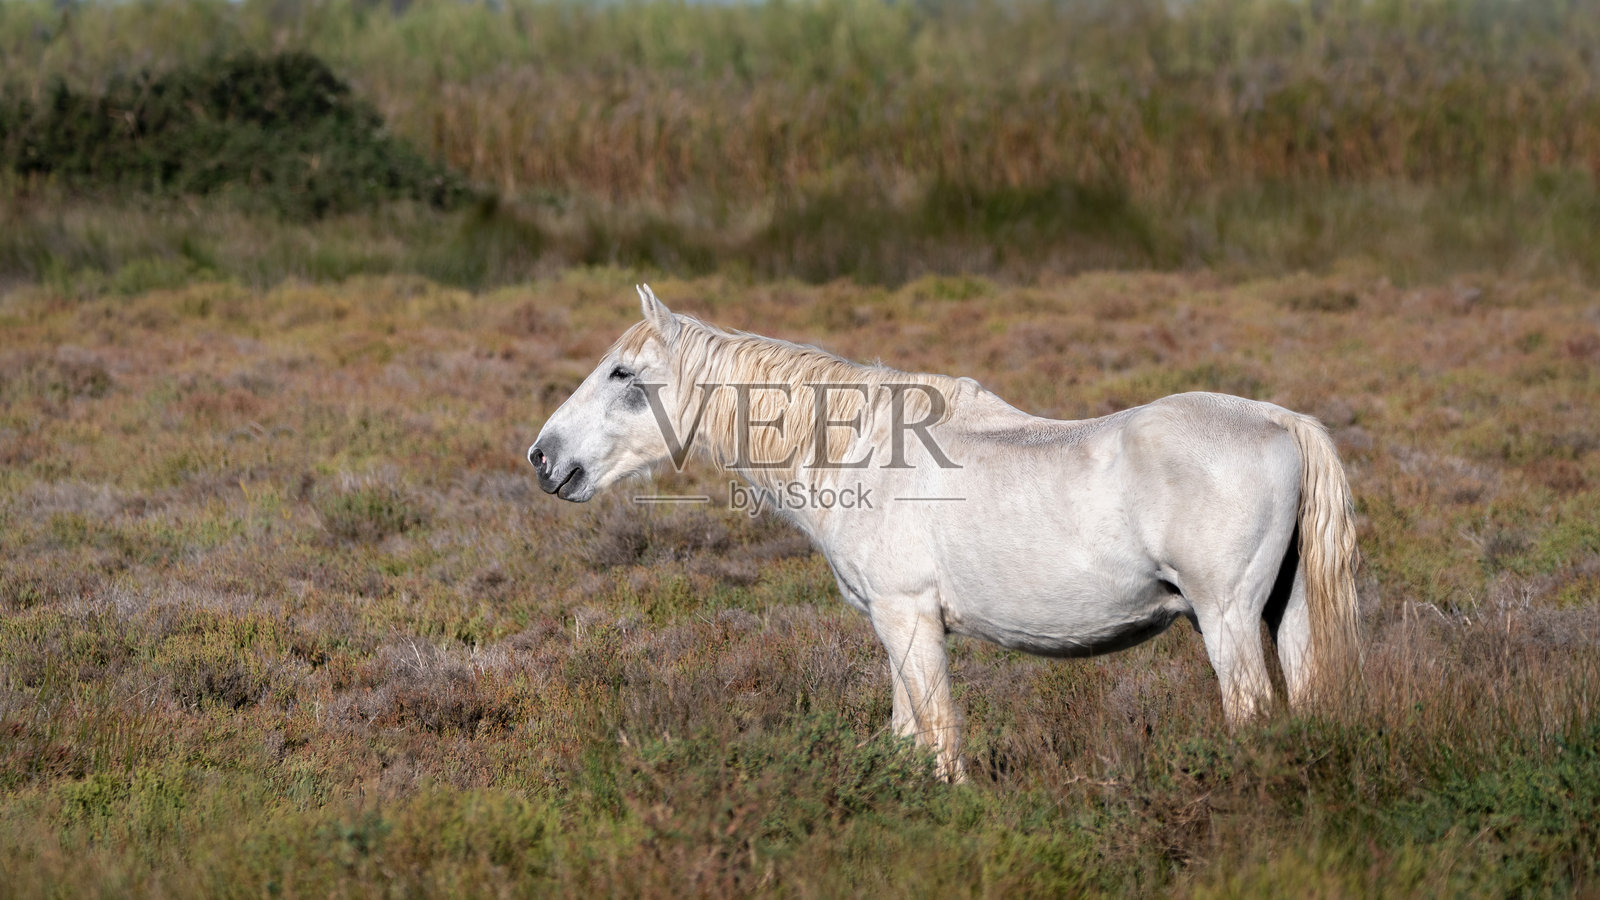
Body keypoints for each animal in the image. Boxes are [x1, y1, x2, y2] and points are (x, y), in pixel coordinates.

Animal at [529, 285, 1361, 780]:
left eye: (623, 375)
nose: (543, 458)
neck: (863, 449)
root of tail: (1277, 419)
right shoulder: (899, 628)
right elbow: (908, 736)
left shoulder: (908, 618)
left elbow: (938, 737)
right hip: (1282, 616)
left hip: (1226, 620)